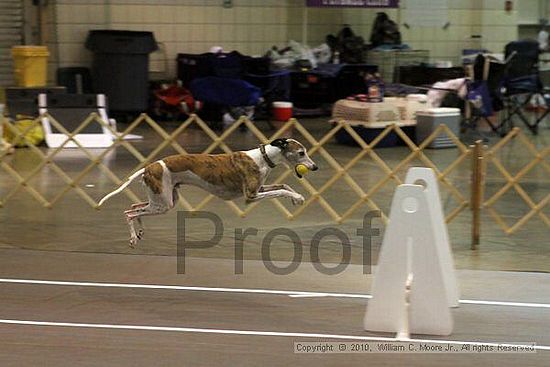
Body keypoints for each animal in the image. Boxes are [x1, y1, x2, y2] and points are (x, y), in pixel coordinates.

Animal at [99, 139, 320, 249]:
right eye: (301, 153)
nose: (315, 167)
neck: (263, 157)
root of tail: (148, 167)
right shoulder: (251, 196)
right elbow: (281, 189)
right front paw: (297, 198)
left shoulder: (259, 189)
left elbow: (284, 185)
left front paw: (296, 198)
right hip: (163, 203)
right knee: (129, 213)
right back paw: (133, 238)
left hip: (165, 199)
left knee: (135, 207)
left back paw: (140, 233)